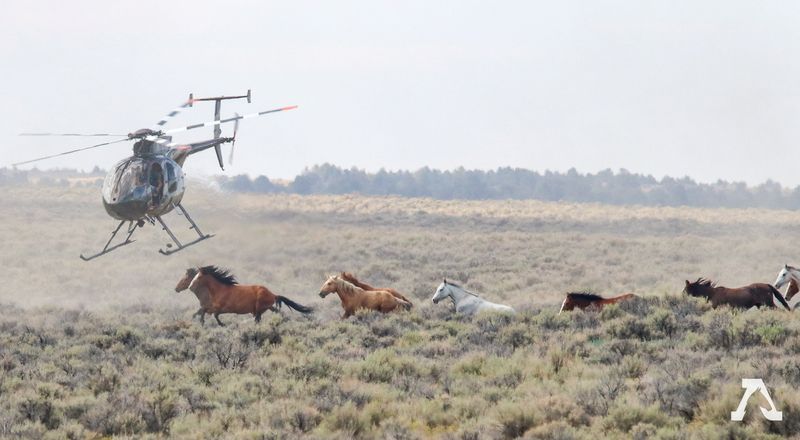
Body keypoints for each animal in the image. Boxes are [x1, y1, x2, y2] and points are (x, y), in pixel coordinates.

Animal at [175, 266, 313, 325]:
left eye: (199, 277)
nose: (176, 289)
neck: (218, 289)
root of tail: (273, 294)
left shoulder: (221, 308)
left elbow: (212, 314)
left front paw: (221, 324)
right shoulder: (210, 307)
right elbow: (203, 312)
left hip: (259, 309)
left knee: (258, 319)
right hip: (267, 307)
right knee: (277, 312)